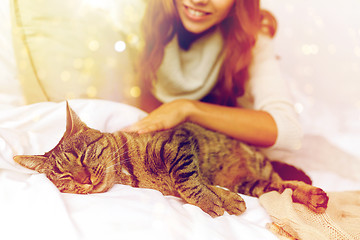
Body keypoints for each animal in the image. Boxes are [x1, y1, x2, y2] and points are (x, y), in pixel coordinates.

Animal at [13, 102, 330, 217]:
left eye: (83, 156)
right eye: (64, 176)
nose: (85, 179)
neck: (129, 172)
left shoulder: (179, 143)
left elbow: (188, 180)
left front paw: (213, 200)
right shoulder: (178, 177)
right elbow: (194, 185)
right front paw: (222, 200)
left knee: (282, 182)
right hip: (252, 184)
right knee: (281, 188)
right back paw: (311, 196)